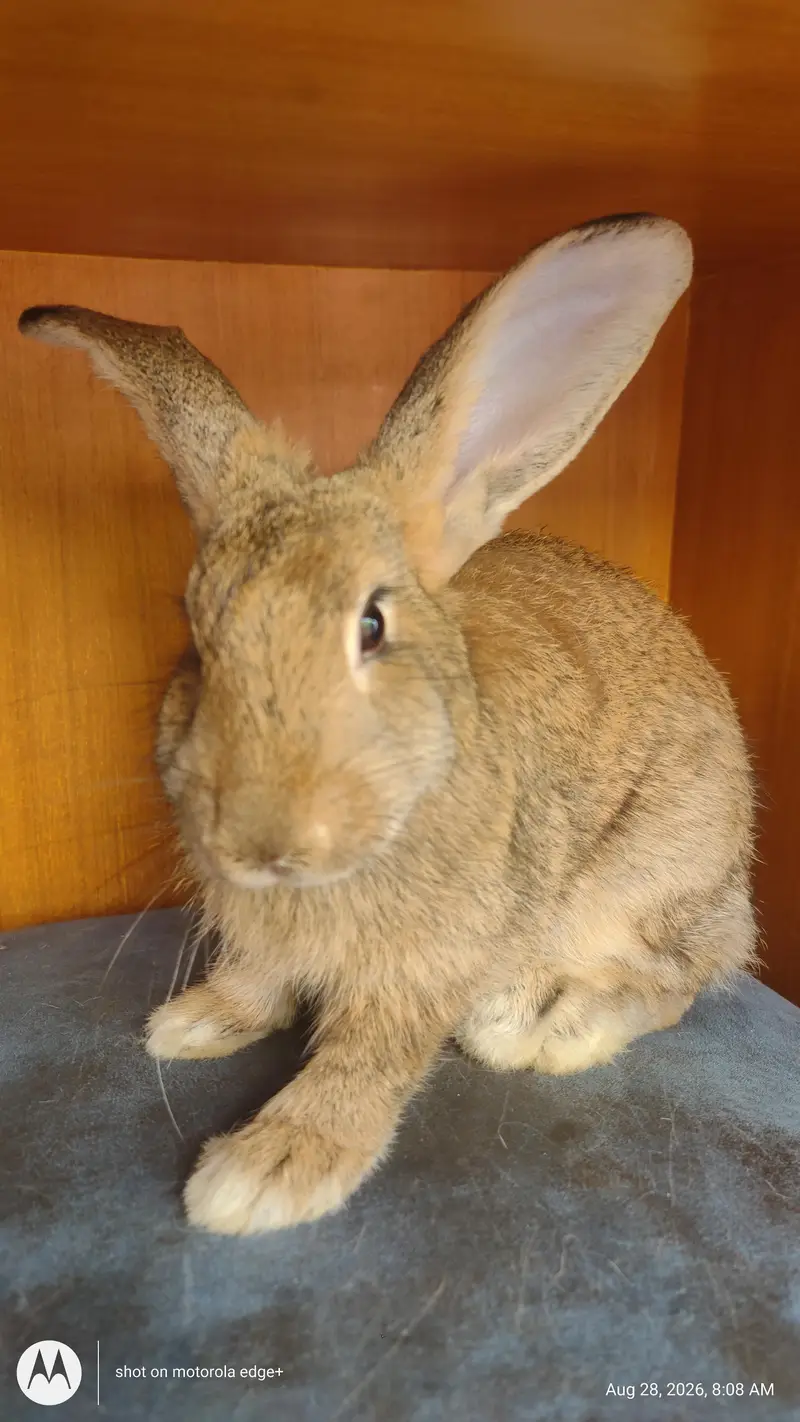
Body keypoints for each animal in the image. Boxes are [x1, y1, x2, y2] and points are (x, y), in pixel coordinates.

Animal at [19, 214, 757, 1236]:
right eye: (196, 632)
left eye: (372, 625)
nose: (260, 843)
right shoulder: (264, 935)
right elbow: (257, 976)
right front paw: (197, 1022)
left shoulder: (428, 959)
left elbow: (369, 1058)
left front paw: (268, 1170)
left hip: (653, 877)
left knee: (682, 977)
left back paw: (544, 1026)